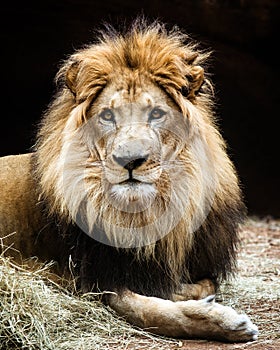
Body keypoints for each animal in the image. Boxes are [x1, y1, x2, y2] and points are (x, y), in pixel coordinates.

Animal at [0, 19, 258, 342]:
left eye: (156, 114)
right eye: (108, 116)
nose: (130, 160)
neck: (146, 213)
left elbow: (201, 283)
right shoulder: (90, 279)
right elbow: (148, 310)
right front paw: (223, 321)